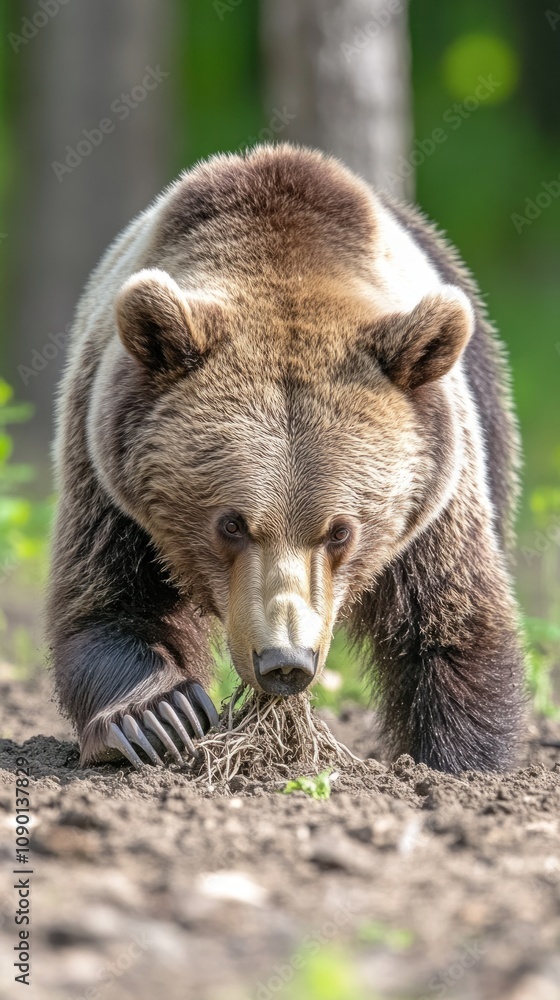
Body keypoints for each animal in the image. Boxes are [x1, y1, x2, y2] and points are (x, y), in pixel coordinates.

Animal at [47, 143, 524, 773]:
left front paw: (461, 761)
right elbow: (107, 600)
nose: (286, 661)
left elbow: (451, 620)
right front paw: (160, 717)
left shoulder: (438, 494)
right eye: (231, 523)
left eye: (341, 530)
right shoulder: (107, 468)